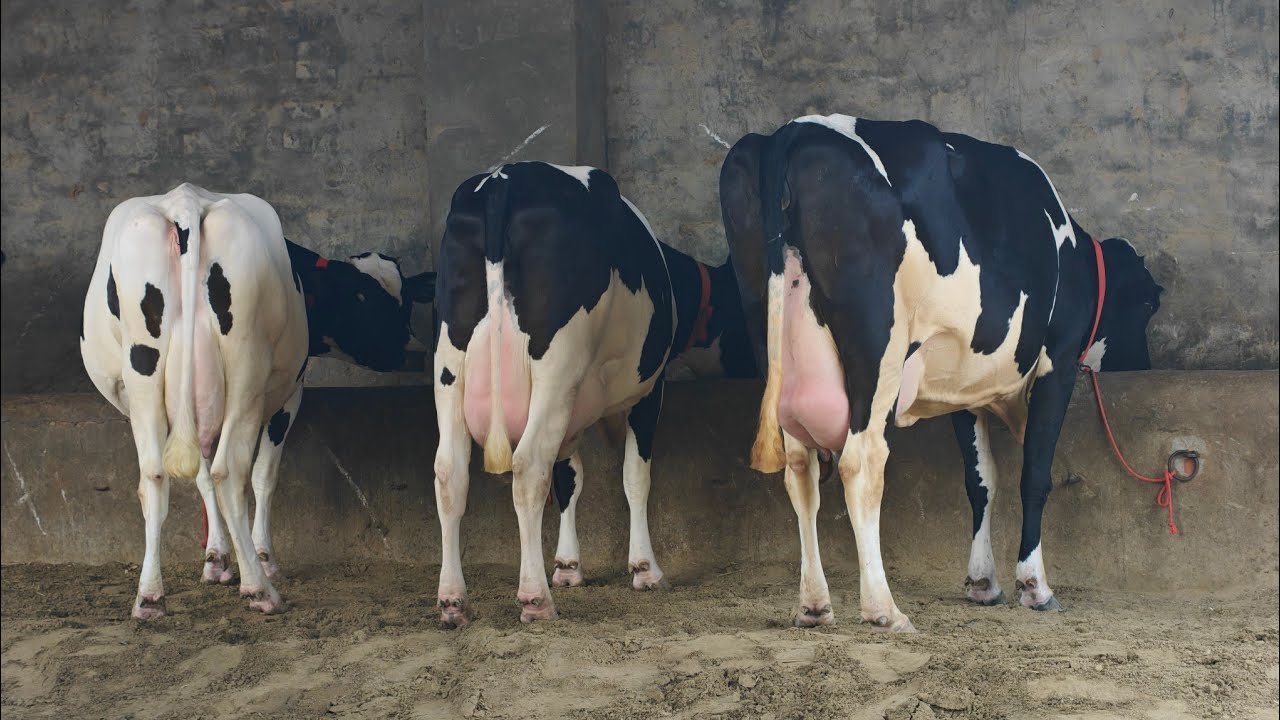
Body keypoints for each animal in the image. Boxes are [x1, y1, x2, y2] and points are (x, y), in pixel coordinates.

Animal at [80, 183, 432, 619]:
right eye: (361, 297)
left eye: (406, 299)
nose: (416, 351)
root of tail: (185, 202)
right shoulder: (289, 395)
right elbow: (263, 474)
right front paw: (262, 556)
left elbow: (201, 473)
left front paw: (216, 557)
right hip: (245, 374)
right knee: (229, 472)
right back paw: (260, 590)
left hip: (144, 375)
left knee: (156, 477)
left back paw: (149, 596)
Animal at [432, 161, 755, 626]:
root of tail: (503, 181)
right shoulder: (648, 391)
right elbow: (635, 476)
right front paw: (645, 569)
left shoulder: (573, 413)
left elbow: (570, 478)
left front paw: (568, 566)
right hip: (555, 367)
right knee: (528, 468)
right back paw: (535, 597)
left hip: (450, 369)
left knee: (450, 474)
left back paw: (453, 600)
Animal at [720, 115, 1163, 632]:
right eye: (1148, 305)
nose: (1147, 363)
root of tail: (794, 130)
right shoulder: (1058, 361)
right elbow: (1034, 475)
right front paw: (1035, 586)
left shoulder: (963, 390)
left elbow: (981, 480)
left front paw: (983, 583)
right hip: (877, 352)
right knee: (860, 463)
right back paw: (884, 609)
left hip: (771, 338)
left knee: (799, 470)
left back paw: (814, 605)